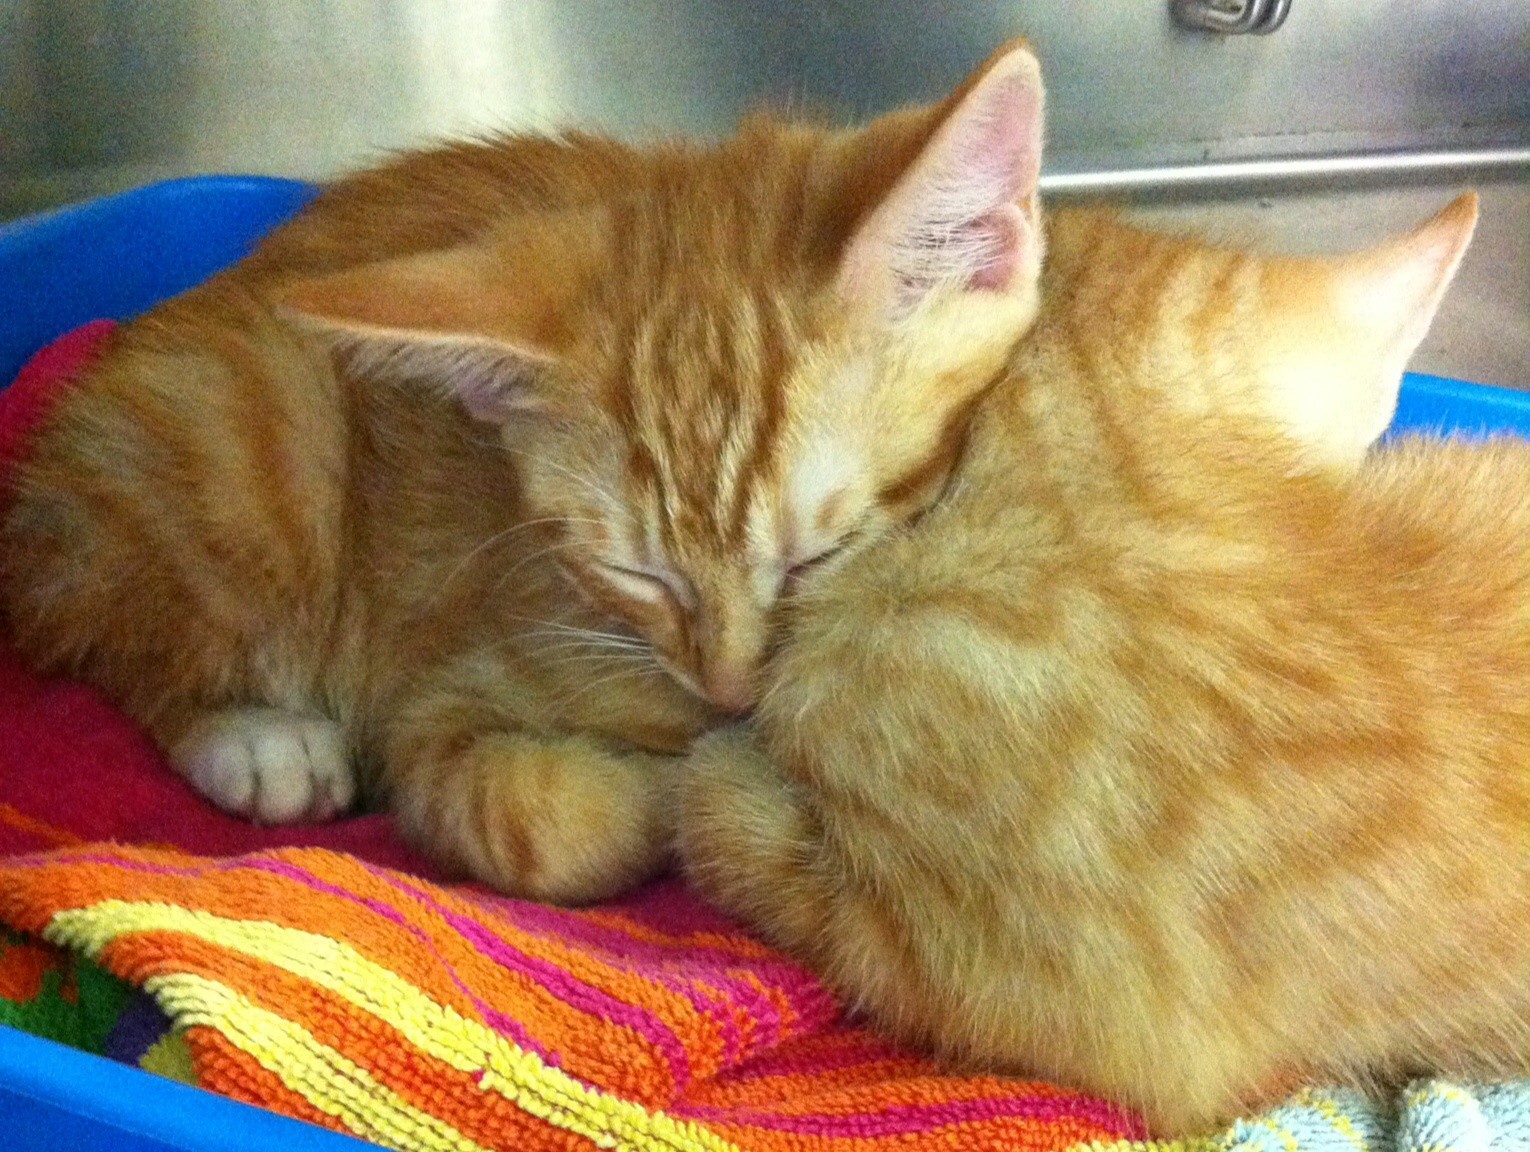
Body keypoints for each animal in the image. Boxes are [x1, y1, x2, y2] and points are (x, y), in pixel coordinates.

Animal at [0, 43, 1049, 903]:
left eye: (817, 559)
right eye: (636, 574)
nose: (729, 693)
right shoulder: (436, 695)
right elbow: (545, 822)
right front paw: (676, 780)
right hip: (256, 418)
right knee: (119, 640)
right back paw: (255, 739)